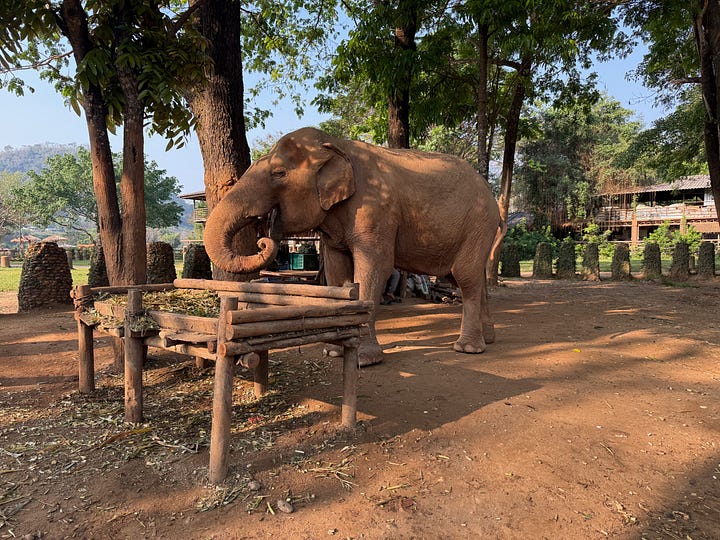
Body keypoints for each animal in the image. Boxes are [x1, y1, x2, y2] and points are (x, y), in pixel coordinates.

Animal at [203, 127, 503, 366]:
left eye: (279, 173)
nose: (264, 238)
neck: (335, 145)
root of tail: (493, 201)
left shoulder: (375, 208)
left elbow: (374, 268)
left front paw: (364, 359)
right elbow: (338, 272)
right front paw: (333, 352)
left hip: (479, 223)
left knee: (465, 276)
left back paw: (467, 348)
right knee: (470, 277)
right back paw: (488, 339)